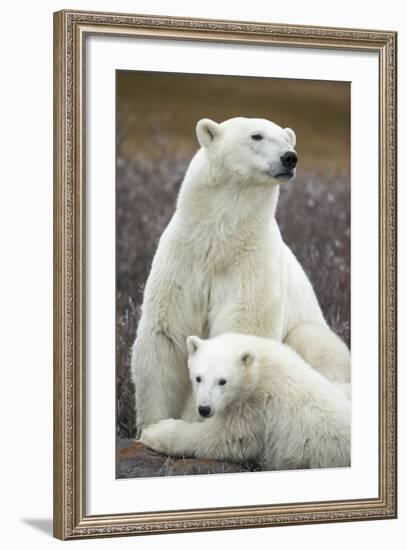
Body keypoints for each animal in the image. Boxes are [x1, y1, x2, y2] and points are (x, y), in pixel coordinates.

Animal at [131, 116, 350, 436]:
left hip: (315, 338)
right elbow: (166, 336)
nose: (290, 157)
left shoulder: (251, 263)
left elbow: (241, 327)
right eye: (256, 136)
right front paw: (152, 426)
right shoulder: (183, 260)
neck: (219, 240)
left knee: (311, 343)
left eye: (287, 139)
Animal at [140, 334, 350, 472]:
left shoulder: (256, 406)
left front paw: (154, 431)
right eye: (198, 378)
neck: (259, 367)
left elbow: (225, 438)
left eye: (222, 381)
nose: (204, 409)